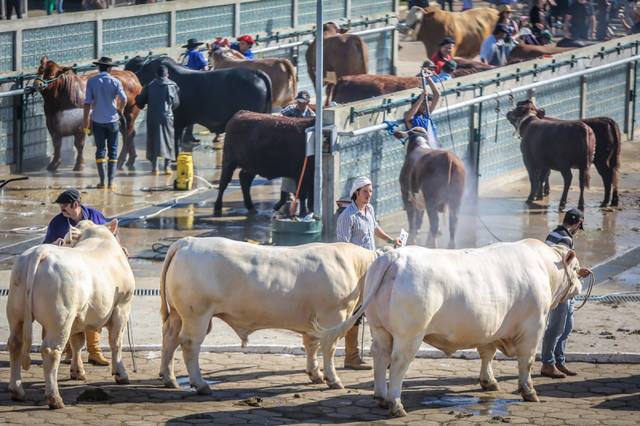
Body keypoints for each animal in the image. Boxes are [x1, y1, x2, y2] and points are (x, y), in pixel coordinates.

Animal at [6, 220, 134, 410]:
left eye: (67, 240)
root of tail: (40, 251)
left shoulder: (79, 317)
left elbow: (77, 343)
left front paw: (77, 372)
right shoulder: (122, 306)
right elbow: (116, 341)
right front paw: (121, 374)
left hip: (17, 313)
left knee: (15, 344)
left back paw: (17, 391)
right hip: (61, 317)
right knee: (51, 350)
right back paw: (54, 398)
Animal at [160, 236, 378, 392]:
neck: (356, 267)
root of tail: (188, 241)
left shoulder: (313, 321)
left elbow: (311, 345)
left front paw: (315, 374)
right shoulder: (333, 317)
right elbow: (328, 348)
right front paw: (333, 379)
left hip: (178, 314)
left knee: (170, 337)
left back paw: (169, 379)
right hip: (197, 314)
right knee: (189, 343)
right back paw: (201, 384)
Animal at [320, 240, 584, 416]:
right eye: (576, 268)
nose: (580, 286)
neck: (544, 267)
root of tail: (393, 257)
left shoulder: (489, 327)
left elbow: (487, 354)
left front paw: (488, 381)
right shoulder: (534, 326)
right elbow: (526, 361)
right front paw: (528, 391)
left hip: (379, 328)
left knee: (379, 356)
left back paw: (381, 397)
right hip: (409, 335)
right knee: (397, 364)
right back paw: (396, 404)